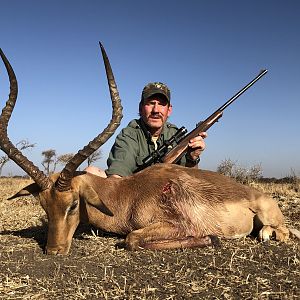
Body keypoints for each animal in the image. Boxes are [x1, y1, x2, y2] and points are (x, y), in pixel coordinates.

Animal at [0, 45, 298, 255]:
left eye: (73, 204)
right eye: (43, 204)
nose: (54, 250)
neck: (125, 195)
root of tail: (256, 194)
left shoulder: (174, 224)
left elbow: (131, 239)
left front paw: (211, 238)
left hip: (267, 217)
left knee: (281, 231)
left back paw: (269, 234)